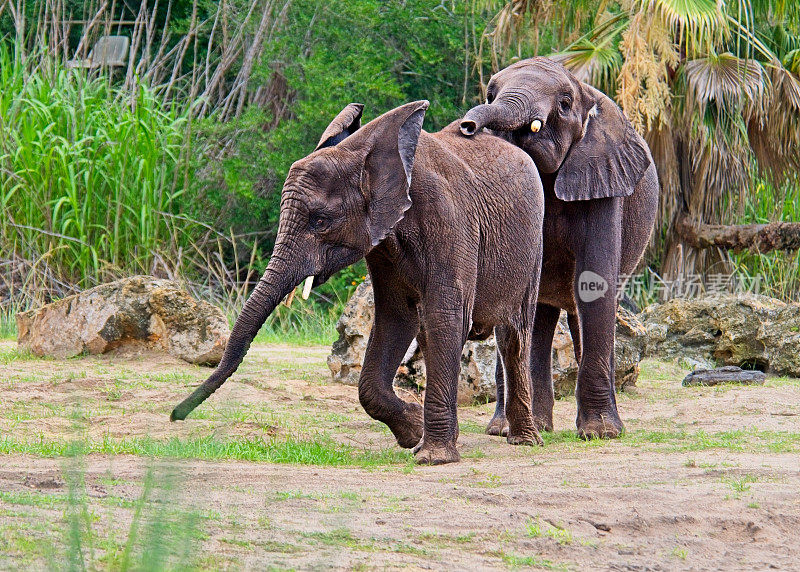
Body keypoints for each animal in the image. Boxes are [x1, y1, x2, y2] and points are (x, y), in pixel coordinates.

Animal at [172, 98, 548, 464]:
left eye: (320, 221)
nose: (176, 416)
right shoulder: (382, 244)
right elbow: (396, 317)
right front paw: (413, 432)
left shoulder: (449, 222)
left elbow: (445, 316)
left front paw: (433, 458)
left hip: (534, 244)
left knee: (514, 335)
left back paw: (524, 440)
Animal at [460, 57, 660, 438]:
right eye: (490, 94)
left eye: (565, 103)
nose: (467, 126)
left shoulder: (602, 179)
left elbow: (594, 285)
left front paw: (600, 433)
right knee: (536, 313)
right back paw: (509, 428)